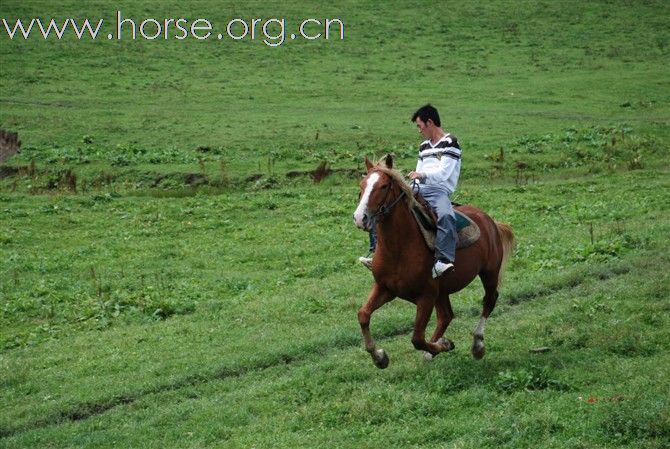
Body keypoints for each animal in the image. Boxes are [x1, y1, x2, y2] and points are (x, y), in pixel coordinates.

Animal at [354, 154, 516, 368]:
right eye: (362, 185)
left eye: (383, 186)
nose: (360, 217)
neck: (399, 249)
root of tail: (491, 222)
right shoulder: (385, 288)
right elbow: (363, 315)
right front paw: (379, 357)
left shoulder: (426, 296)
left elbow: (416, 338)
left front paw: (444, 345)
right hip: (443, 290)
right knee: (446, 316)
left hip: (489, 273)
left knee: (489, 301)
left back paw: (477, 345)